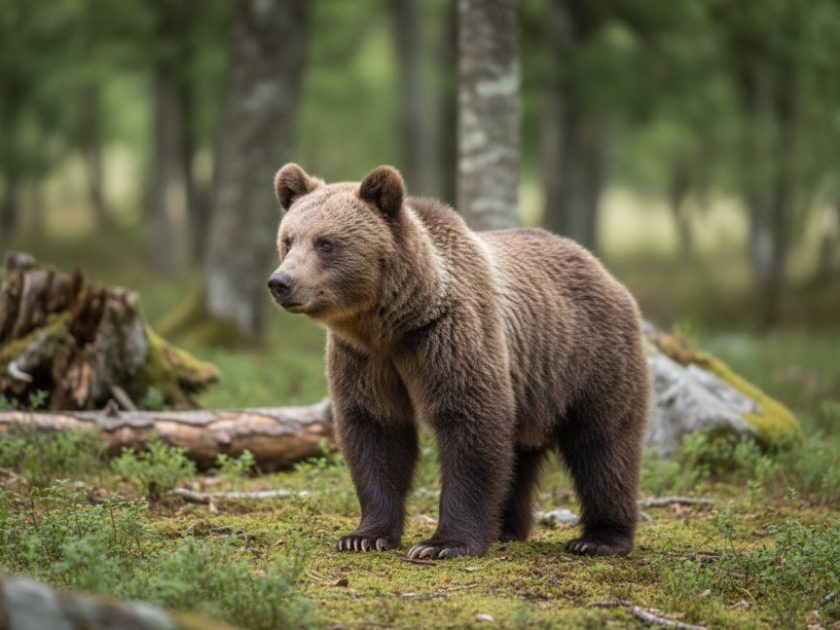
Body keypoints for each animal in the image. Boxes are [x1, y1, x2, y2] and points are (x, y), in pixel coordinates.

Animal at [268, 163, 650, 559]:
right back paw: (505, 528)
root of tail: (601, 268)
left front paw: (442, 544)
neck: (394, 322)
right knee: (520, 453)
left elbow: (469, 421)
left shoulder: (450, 335)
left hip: (590, 356)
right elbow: (374, 429)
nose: (281, 282)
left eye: (326, 242)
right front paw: (364, 536)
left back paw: (599, 538)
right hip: (533, 384)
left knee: (604, 444)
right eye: (288, 240)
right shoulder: (363, 357)